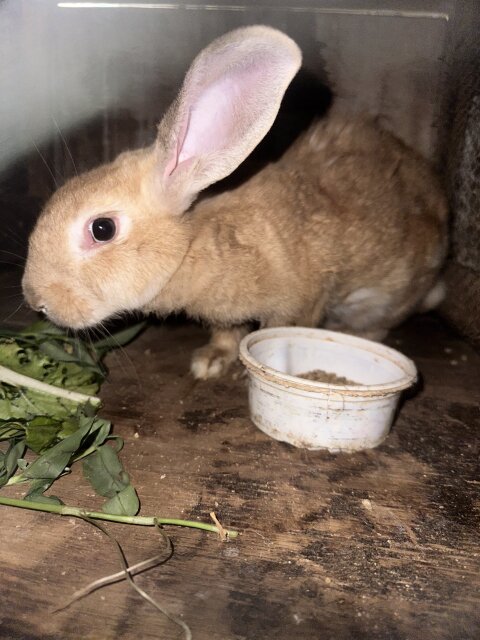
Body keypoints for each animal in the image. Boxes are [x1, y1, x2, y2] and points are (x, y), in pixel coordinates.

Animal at [22, 25, 448, 380]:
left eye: (102, 228)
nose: (36, 300)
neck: (193, 241)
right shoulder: (226, 317)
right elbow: (227, 332)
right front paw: (210, 362)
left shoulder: (302, 302)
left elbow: (280, 330)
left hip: (385, 296)